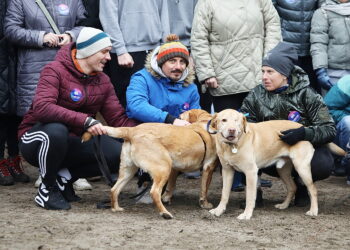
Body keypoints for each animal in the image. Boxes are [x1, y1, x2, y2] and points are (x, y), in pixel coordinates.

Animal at [208, 109, 344, 221]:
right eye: (224, 120)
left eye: (237, 121)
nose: (232, 130)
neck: (232, 146)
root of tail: (304, 128)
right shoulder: (227, 171)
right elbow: (224, 194)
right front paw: (219, 210)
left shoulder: (251, 172)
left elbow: (250, 196)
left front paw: (247, 214)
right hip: (283, 170)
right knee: (292, 187)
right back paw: (284, 205)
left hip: (302, 168)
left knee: (313, 189)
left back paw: (313, 210)